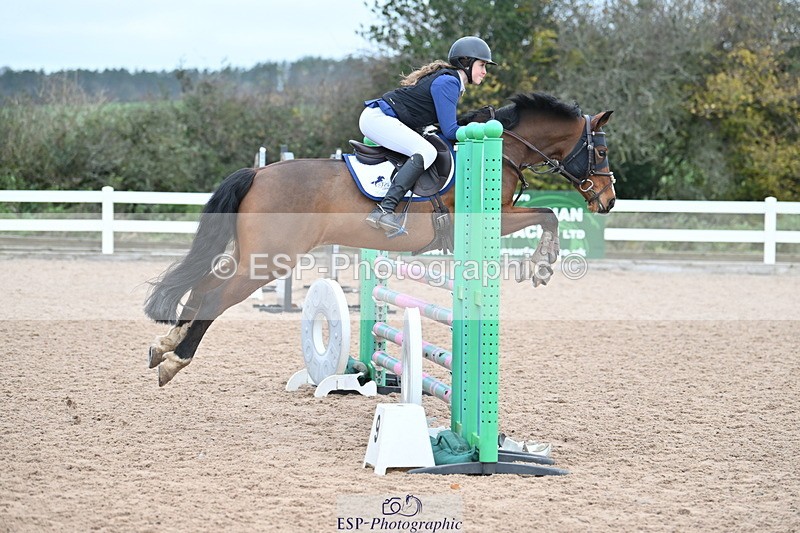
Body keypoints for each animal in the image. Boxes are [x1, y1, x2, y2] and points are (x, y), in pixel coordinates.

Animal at [144, 92, 616, 386]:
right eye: (602, 151)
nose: (608, 201)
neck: (503, 149)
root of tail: (258, 172)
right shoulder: (495, 218)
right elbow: (549, 215)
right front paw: (543, 265)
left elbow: (547, 215)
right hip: (270, 260)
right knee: (216, 297)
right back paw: (176, 362)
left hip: (251, 255)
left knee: (204, 285)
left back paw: (164, 347)